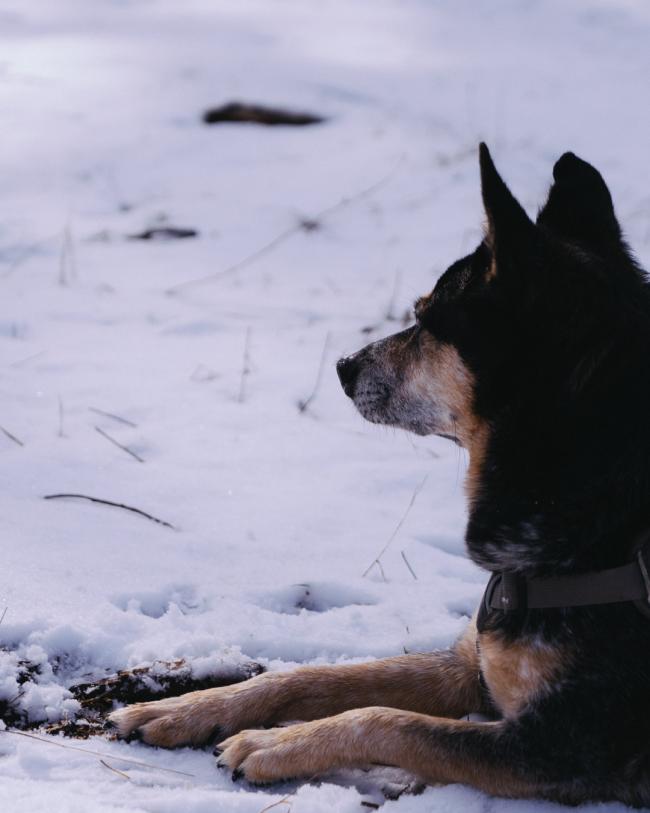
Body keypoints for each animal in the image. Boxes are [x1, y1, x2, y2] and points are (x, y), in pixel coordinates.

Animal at [109, 146, 648, 804]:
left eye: (428, 322)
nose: (343, 365)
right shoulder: (470, 664)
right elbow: (319, 675)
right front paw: (189, 707)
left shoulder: (561, 747)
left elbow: (388, 721)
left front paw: (274, 743)